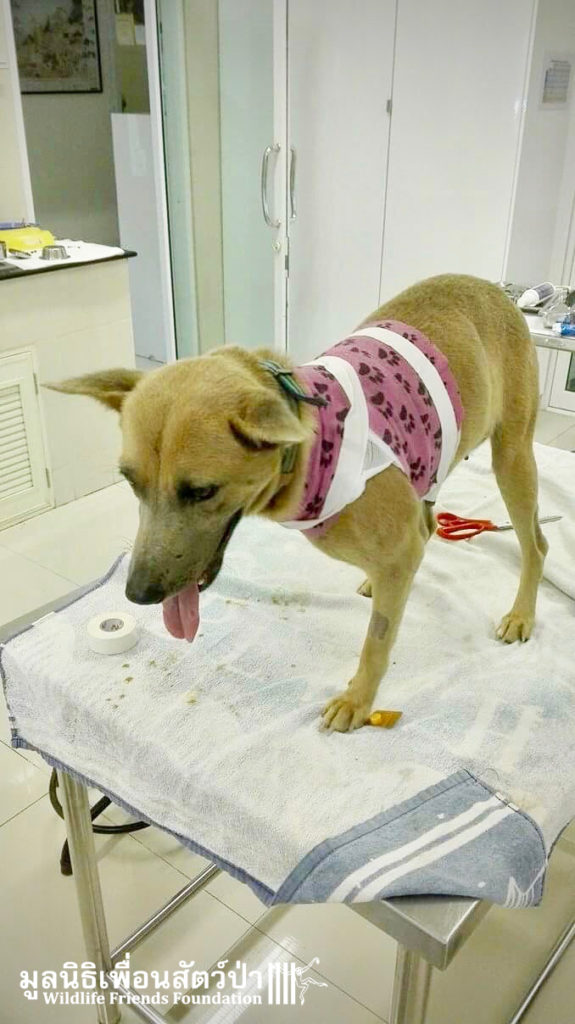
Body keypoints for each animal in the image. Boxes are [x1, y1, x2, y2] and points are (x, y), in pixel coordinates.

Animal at [50, 274, 547, 732]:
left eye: (203, 491)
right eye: (130, 482)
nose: (138, 594)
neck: (308, 453)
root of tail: (491, 287)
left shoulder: (398, 547)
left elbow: (377, 640)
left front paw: (358, 699)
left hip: (512, 456)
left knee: (535, 545)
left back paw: (521, 614)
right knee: (429, 522)